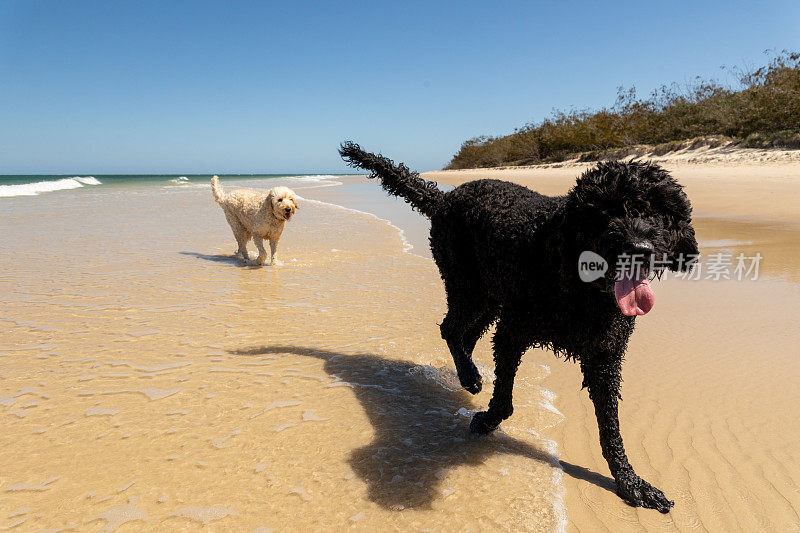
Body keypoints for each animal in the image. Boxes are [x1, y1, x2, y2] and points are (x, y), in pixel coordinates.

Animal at [340, 142, 700, 512]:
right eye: (606, 211)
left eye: (660, 213)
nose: (640, 249)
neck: (576, 280)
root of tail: (446, 197)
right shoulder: (512, 333)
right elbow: (504, 401)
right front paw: (486, 421)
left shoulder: (605, 357)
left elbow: (610, 430)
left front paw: (630, 482)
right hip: (468, 287)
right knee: (450, 329)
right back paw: (468, 376)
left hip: (491, 298)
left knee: (465, 336)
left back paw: (468, 372)